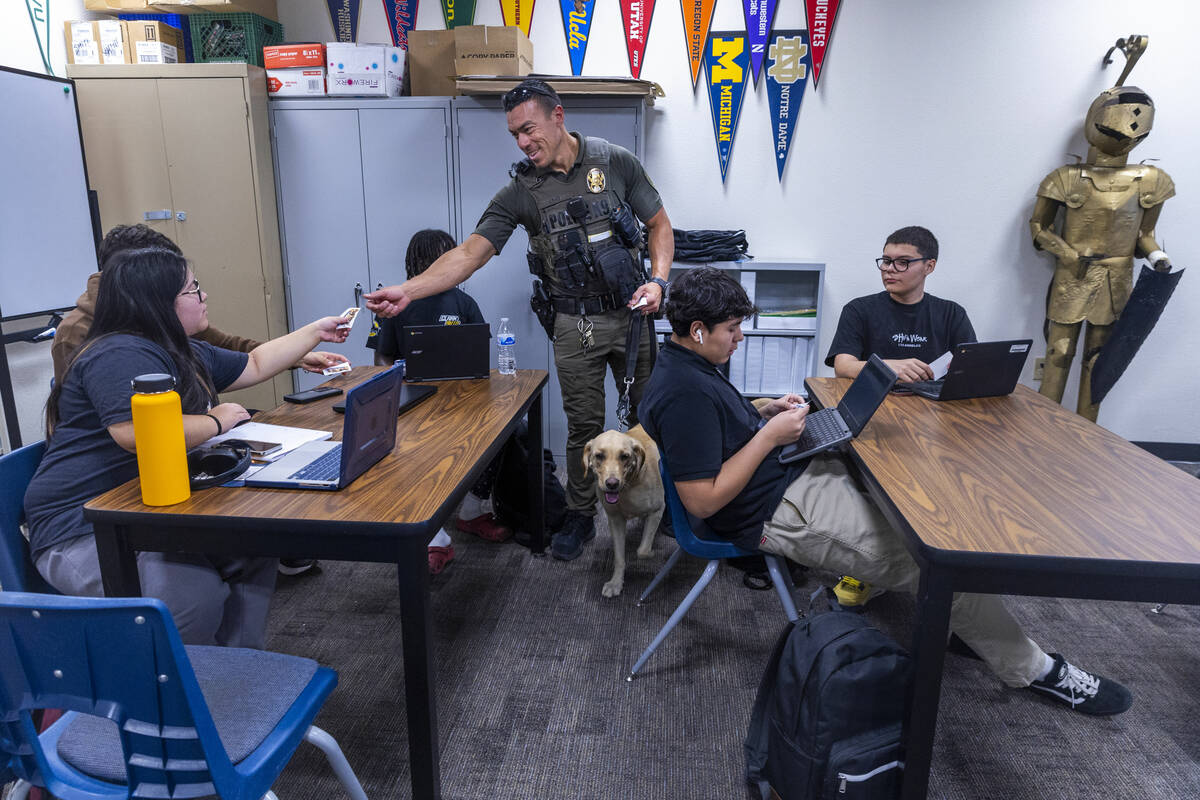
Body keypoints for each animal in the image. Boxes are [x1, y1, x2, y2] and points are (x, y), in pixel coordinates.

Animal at [580, 429, 667, 597]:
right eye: (599, 456)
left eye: (624, 456)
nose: (612, 484)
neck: (629, 485)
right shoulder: (615, 520)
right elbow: (619, 558)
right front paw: (616, 582)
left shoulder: (657, 510)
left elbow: (642, 551)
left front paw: (651, 554)